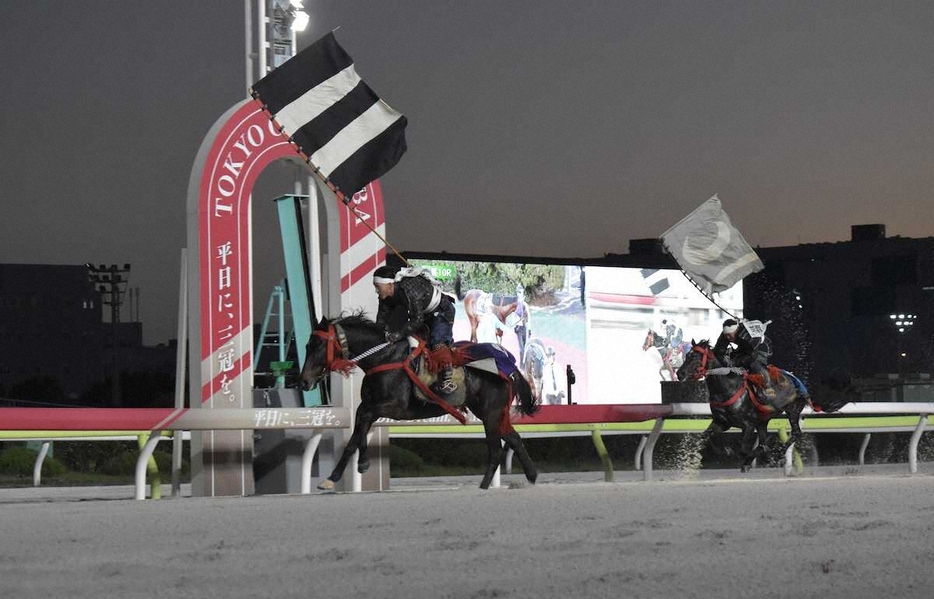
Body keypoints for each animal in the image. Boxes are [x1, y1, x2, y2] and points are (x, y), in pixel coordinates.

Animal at [304, 316, 540, 490]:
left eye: (318, 345)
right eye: (308, 344)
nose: (304, 381)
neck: (384, 358)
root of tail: (509, 366)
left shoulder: (392, 406)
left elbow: (359, 431)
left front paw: (333, 477)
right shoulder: (367, 405)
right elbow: (358, 431)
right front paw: (358, 465)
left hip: (491, 413)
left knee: (496, 450)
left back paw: (483, 486)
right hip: (492, 413)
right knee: (514, 438)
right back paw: (532, 475)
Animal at [676, 340, 852, 472]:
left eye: (695, 356)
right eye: (687, 355)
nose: (679, 373)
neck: (727, 387)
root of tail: (797, 381)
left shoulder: (747, 424)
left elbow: (743, 450)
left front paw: (746, 461)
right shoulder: (722, 422)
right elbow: (708, 437)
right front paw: (728, 451)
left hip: (792, 410)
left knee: (796, 432)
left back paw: (777, 453)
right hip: (763, 420)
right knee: (765, 441)